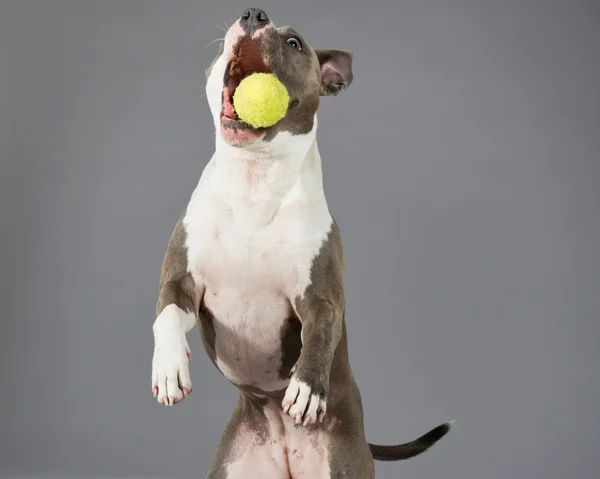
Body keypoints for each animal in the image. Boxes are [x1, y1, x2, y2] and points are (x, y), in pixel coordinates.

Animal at [150, 9, 450, 478]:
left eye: (295, 44)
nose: (254, 13)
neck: (254, 180)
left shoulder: (319, 299)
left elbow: (321, 333)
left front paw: (307, 387)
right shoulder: (180, 283)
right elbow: (164, 317)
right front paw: (168, 369)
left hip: (342, 462)